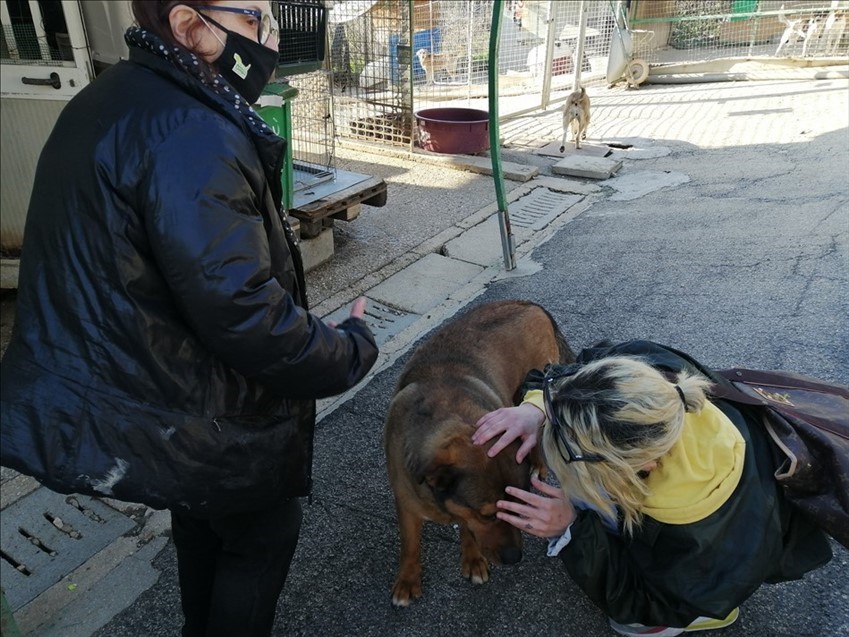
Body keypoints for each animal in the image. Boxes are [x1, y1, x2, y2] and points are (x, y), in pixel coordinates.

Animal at [386, 300, 576, 608]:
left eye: (517, 508)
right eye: (487, 515)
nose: (514, 559)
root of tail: (531, 304)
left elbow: (467, 530)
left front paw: (473, 559)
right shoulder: (406, 501)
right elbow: (410, 544)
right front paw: (407, 580)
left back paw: (538, 464)